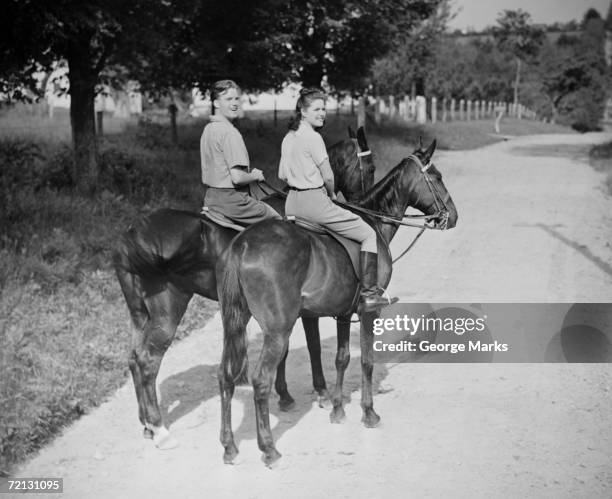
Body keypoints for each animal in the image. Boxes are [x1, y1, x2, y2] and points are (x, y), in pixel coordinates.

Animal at [112, 125, 376, 450]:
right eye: (370, 168)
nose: (362, 209)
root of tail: (132, 233)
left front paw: (287, 394)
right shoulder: (300, 309)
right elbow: (309, 346)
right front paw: (313, 393)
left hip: (138, 312)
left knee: (134, 358)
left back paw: (147, 424)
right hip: (166, 310)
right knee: (148, 361)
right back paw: (160, 429)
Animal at [218, 139, 456, 466]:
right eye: (437, 177)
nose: (454, 216)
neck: (374, 221)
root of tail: (241, 245)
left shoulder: (344, 312)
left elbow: (341, 358)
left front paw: (338, 408)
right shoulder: (368, 312)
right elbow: (367, 360)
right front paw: (368, 413)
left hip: (235, 323)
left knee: (225, 376)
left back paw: (229, 446)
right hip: (277, 331)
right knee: (260, 381)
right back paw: (268, 448)